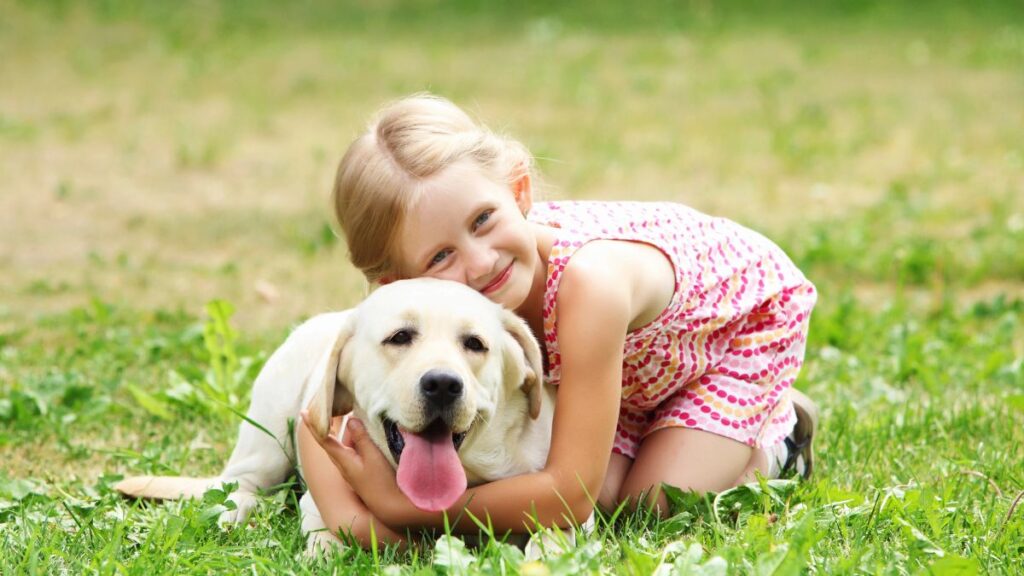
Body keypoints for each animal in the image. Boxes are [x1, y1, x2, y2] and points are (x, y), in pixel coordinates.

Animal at [115, 278, 557, 553]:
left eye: (475, 344)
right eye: (400, 337)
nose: (444, 384)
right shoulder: (319, 497)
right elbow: (329, 531)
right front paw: (325, 550)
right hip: (268, 435)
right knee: (238, 484)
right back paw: (233, 510)